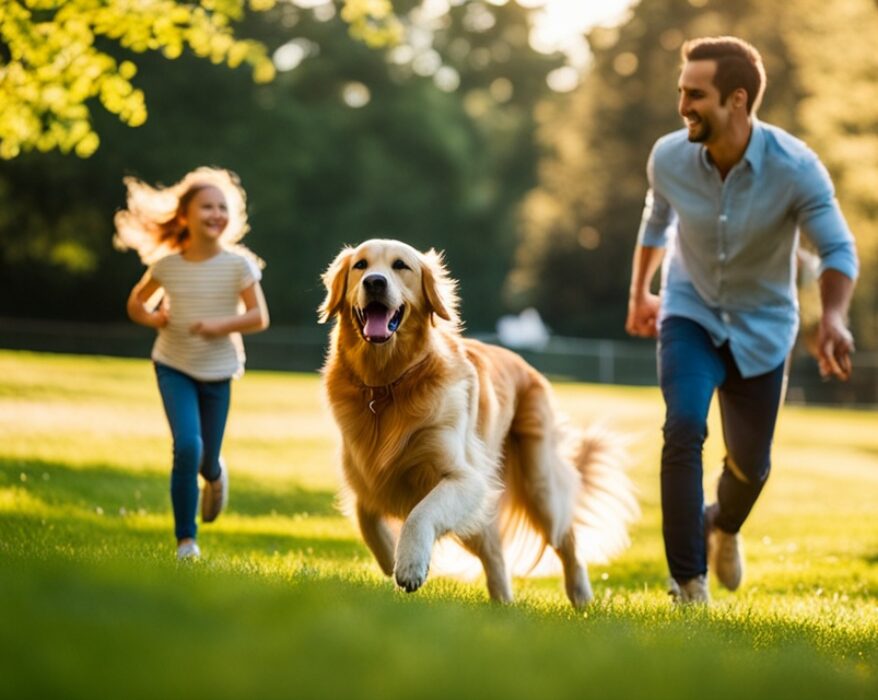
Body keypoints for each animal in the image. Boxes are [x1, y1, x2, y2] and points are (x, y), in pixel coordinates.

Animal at [320, 241, 636, 608]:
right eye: (360, 265)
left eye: (400, 266)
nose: (374, 282)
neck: (387, 387)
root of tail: (525, 364)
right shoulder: (366, 475)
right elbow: (365, 516)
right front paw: (389, 557)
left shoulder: (465, 478)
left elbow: (419, 514)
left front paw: (410, 564)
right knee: (495, 554)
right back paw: (503, 605)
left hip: (538, 483)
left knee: (566, 537)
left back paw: (581, 595)